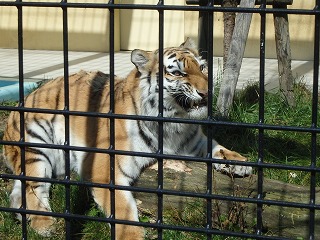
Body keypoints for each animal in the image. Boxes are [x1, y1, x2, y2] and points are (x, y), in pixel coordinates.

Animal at [2, 38, 252, 239]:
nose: (207, 93)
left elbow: (219, 148)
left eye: (202, 68)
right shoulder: (105, 169)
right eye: (177, 73)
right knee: (34, 188)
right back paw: (44, 224)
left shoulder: (196, 142)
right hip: (36, 147)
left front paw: (240, 163)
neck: (175, 125)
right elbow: (124, 213)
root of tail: (25, 99)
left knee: (18, 191)